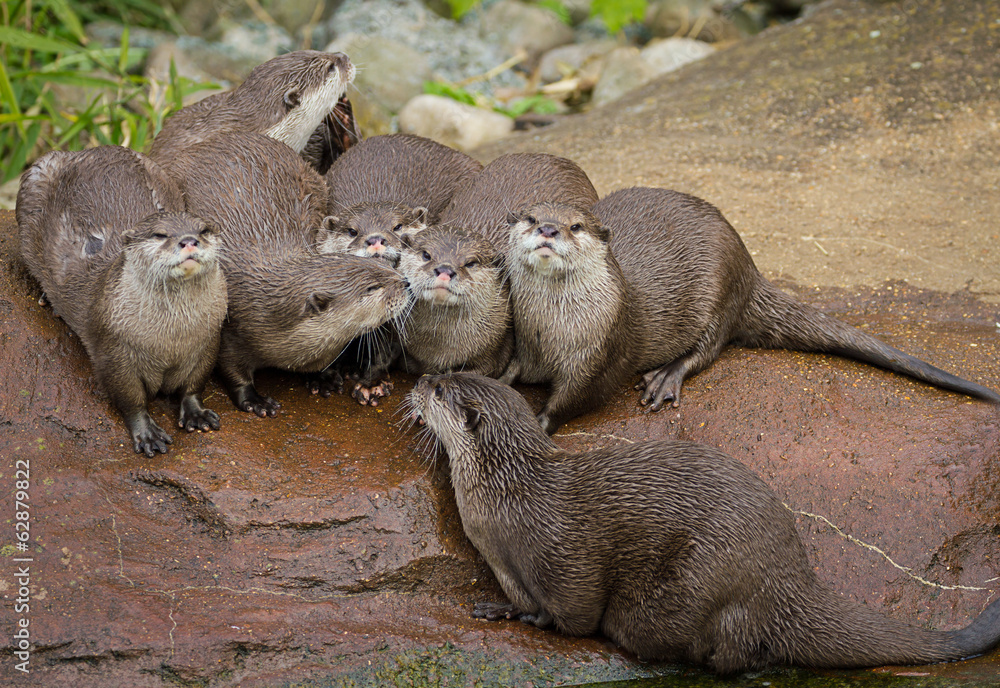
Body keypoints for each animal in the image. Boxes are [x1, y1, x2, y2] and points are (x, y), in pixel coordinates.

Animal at [16, 147, 227, 456]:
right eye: (160, 234)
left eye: (203, 230)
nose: (189, 240)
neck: (170, 339)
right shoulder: (114, 349)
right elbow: (129, 398)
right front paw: (146, 433)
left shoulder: (208, 340)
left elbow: (194, 383)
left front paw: (196, 412)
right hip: (36, 175)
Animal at [160, 132, 410, 415]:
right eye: (372, 288)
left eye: (382, 267)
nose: (405, 283)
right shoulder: (230, 329)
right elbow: (232, 369)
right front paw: (255, 400)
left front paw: (322, 377)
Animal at [408, 372, 1000, 674]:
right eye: (447, 373)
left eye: (438, 390)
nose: (416, 380)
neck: (510, 497)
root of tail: (788, 581)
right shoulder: (506, 562)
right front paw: (501, 610)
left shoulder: (562, 553)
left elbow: (574, 612)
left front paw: (538, 621)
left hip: (697, 583)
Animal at [502, 188, 1000, 433]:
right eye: (529, 217)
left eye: (576, 225)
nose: (548, 229)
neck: (552, 330)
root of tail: (750, 266)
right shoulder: (526, 341)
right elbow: (513, 369)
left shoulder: (603, 351)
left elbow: (578, 397)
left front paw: (540, 422)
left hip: (719, 290)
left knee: (710, 348)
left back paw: (666, 377)